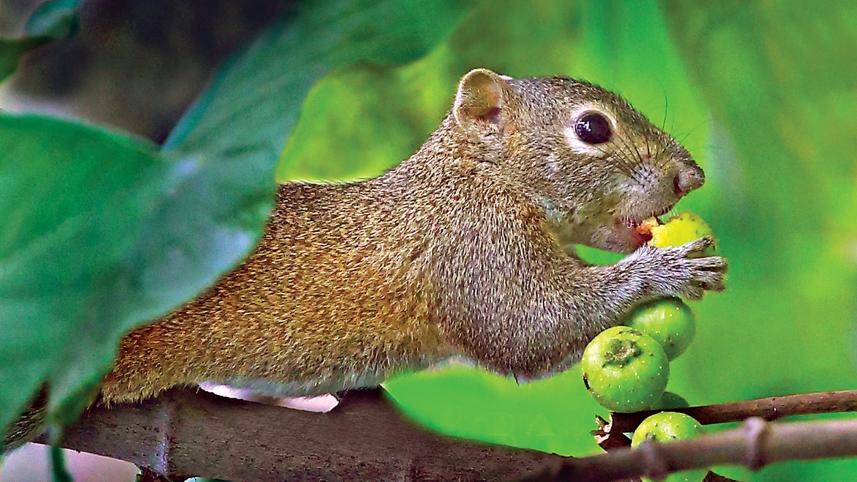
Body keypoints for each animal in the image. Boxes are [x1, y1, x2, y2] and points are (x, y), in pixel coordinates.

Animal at [4, 68, 725, 450]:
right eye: (590, 127)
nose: (689, 176)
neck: (477, 176)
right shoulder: (474, 246)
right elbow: (526, 328)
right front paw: (665, 270)